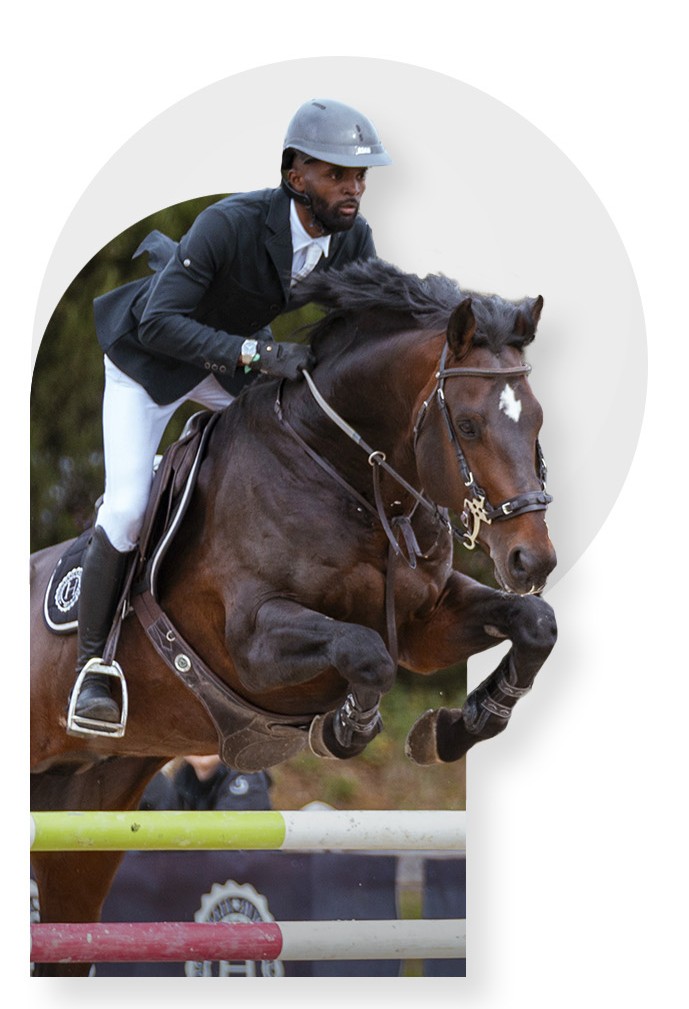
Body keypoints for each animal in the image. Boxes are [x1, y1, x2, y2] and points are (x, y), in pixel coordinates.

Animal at [29, 259, 557, 974]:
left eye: (535, 421)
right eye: (470, 427)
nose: (533, 559)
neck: (351, 478)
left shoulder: (427, 622)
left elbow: (535, 625)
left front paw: (457, 728)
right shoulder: (252, 640)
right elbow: (365, 652)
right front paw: (344, 728)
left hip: (82, 817)